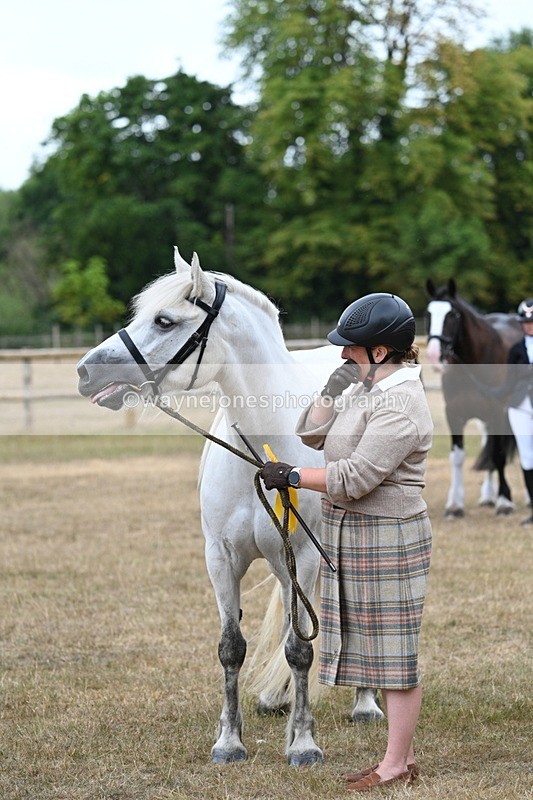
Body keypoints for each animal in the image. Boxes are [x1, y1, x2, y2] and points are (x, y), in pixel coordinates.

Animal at [77, 248, 383, 766]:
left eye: (164, 320)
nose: (85, 371)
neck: (262, 449)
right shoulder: (221, 558)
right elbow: (231, 647)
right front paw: (229, 741)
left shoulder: (302, 557)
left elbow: (301, 650)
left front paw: (304, 744)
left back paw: (365, 703)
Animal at [425, 278, 522, 517]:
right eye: (428, 314)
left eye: (452, 315)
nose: (433, 354)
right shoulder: (454, 414)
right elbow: (458, 457)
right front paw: (454, 505)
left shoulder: (497, 412)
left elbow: (498, 455)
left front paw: (505, 501)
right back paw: (487, 496)